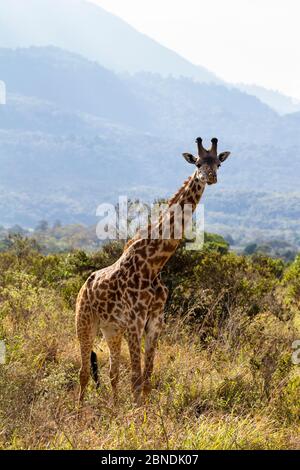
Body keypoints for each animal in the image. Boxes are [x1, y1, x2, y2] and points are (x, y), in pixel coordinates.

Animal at [76, 136, 231, 404]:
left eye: (218, 164)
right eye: (198, 163)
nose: (210, 177)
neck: (154, 263)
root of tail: (83, 289)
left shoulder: (155, 322)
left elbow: (147, 378)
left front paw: (144, 413)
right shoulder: (135, 322)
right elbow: (136, 378)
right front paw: (136, 415)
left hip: (111, 329)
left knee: (112, 372)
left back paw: (113, 408)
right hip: (85, 323)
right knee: (84, 371)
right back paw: (80, 410)